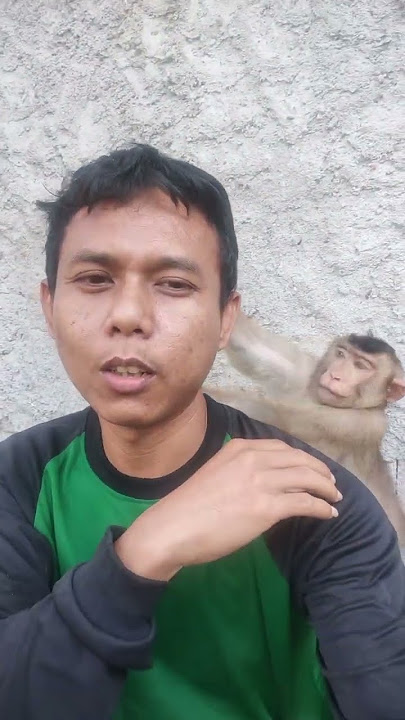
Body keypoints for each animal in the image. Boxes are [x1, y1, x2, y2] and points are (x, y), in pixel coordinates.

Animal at [206, 311, 405, 545]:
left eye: (361, 366)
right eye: (341, 354)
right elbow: (255, 349)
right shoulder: (306, 376)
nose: (334, 375)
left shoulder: (351, 425)